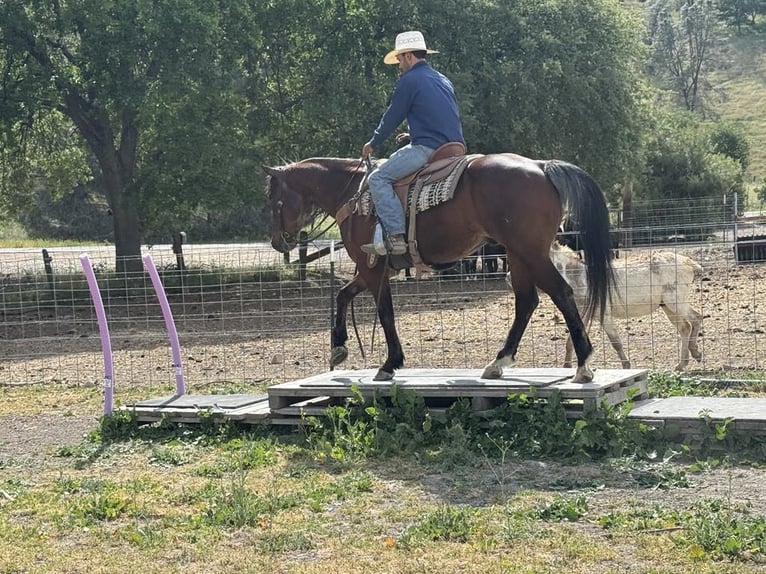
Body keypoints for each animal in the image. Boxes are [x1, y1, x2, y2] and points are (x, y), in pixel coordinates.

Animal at [264, 153, 615, 383]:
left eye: (273, 198)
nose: (278, 242)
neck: (352, 193)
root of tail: (542, 167)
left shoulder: (372, 269)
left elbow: (384, 312)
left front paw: (390, 363)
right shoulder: (375, 269)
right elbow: (342, 295)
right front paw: (338, 347)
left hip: (531, 253)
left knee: (561, 293)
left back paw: (583, 365)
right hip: (518, 255)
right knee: (527, 301)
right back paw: (498, 362)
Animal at [544, 242, 703, 371]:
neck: (581, 280)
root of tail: (688, 262)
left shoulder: (605, 316)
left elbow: (616, 343)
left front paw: (626, 365)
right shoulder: (584, 316)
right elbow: (570, 341)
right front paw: (566, 367)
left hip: (675, 303)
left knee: (695, 319)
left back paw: (692, 356)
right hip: (668, 307)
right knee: (685, 327)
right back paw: (684, 362)